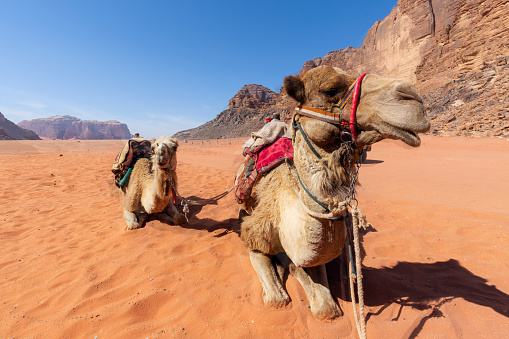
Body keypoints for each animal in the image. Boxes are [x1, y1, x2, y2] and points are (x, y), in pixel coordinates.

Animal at [238, 65, 428, 322]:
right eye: (330, 90)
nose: (413, 97)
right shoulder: (254, 232)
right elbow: (277, 299)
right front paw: (278, 275)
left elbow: (327, 307)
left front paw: (290, 267)